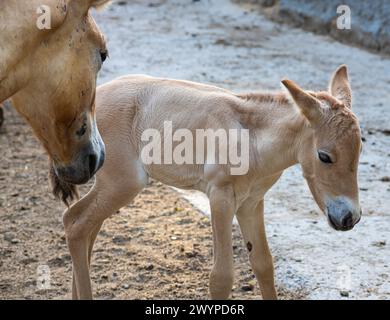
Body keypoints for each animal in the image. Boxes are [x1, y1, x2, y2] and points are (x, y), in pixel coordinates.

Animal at [54, 65, 362, 300]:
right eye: (324, 156)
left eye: (360, 149)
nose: (350, 218)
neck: (252, 140)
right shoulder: (221, 198)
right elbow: (221, 277)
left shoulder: (251, 203)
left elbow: (263, 264)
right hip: (124, 183)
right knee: (77, 224)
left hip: (110, 186)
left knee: (81, 223)